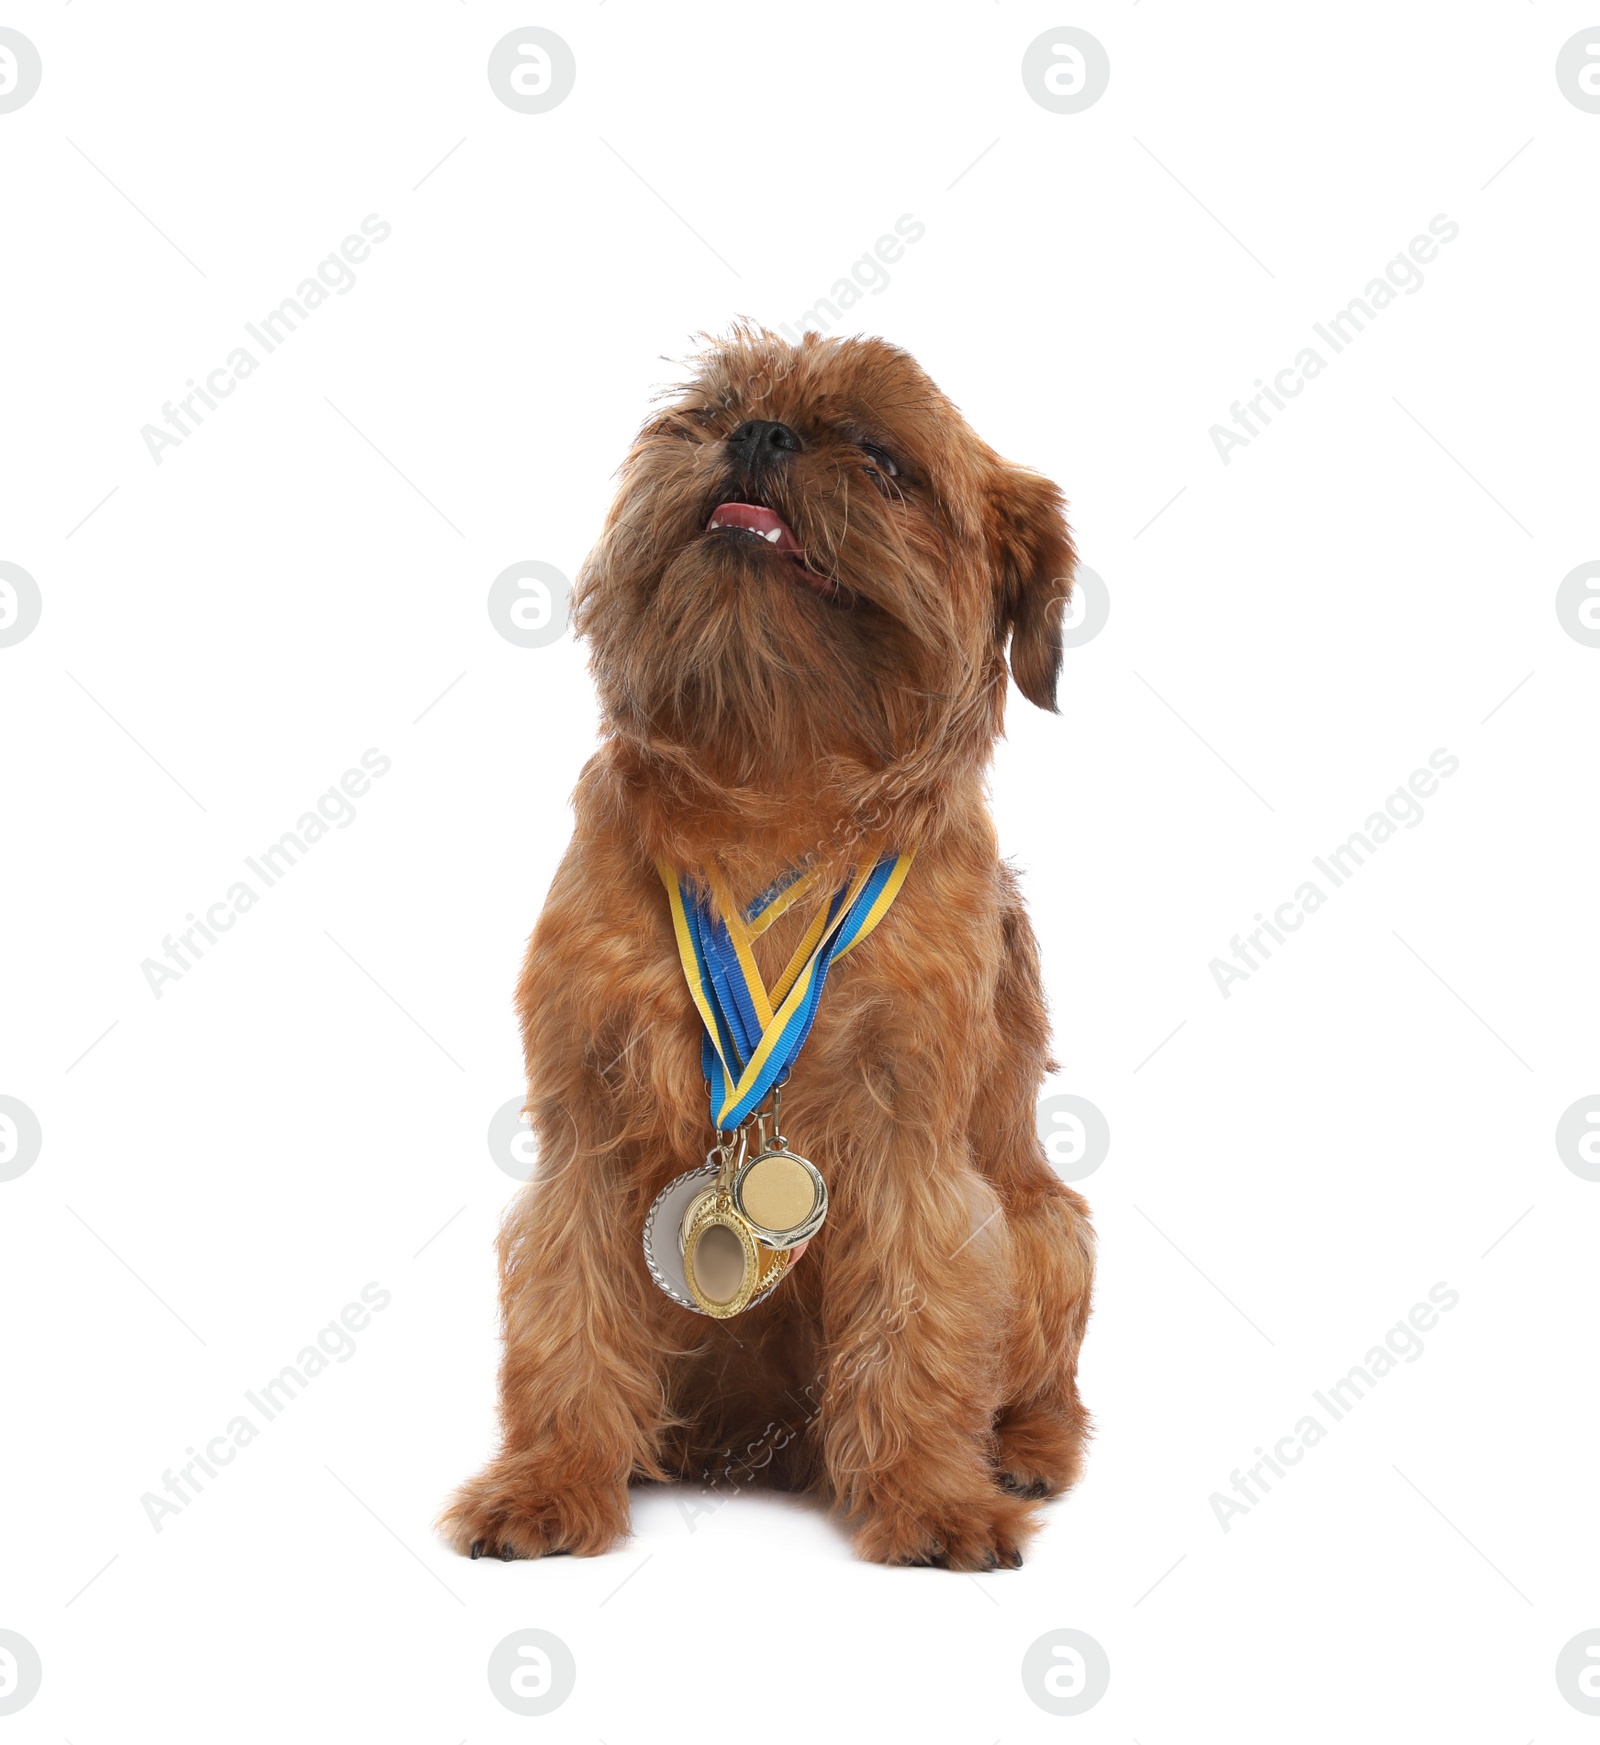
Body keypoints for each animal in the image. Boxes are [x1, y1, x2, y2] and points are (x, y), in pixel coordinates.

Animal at [450, 328, 1095, 1570]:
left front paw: (929, 1495)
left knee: (1048, 1374)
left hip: (1046, 1223)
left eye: (885, 461)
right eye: (713, 410)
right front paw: (549, 1479)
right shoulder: (586, 1138)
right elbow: (566, 1315)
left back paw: (1020, 1451)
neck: (773, 788)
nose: (760, 433)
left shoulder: (912, 1155)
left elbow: (919, 1317)